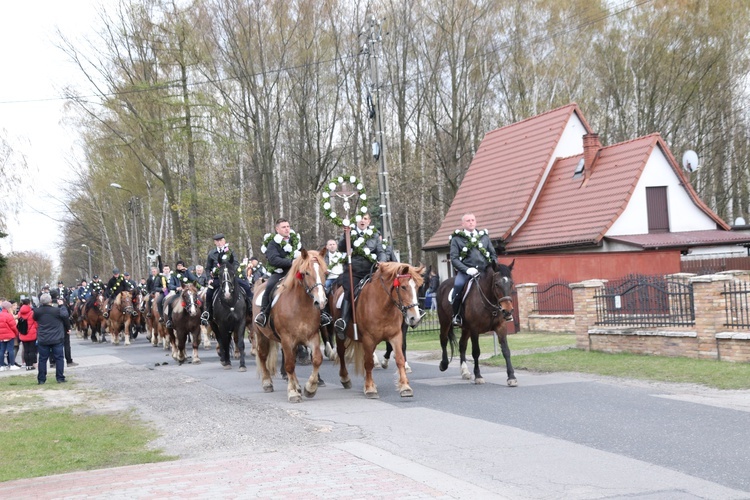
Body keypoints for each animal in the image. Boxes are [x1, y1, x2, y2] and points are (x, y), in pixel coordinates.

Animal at [254, 248, 328, 404]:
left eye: (325, 273)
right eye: (306, 273)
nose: (321, 301)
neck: (300, 306)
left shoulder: (312, 336)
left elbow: (317, 359)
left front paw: (310, 388)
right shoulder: (287, 339)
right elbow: (289, 364)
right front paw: (293, 393)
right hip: (261, 335)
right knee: (262, 356)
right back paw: (267, 383)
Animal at [332, 262, 426, 398]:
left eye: (418, 287)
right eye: (403, 287)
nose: (415, 318)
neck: (383, 307)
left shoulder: (395, 335)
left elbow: (399, 359)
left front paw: (405, 387)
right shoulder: (368, 338)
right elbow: (369, 362)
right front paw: (370, 388)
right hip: (341, 335)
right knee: (341, 352)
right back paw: (345, 378)